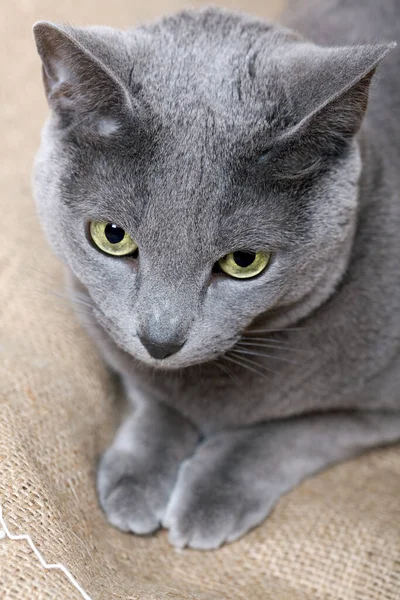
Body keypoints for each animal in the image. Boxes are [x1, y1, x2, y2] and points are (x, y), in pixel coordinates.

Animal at [32, 0, 400, 552]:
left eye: (244, 262)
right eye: (112, 236)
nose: (161, 340)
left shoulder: (374, 412)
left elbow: (288, 432)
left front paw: (211, 495)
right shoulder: (106, 329)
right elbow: (150, 394)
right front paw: (137, 479)